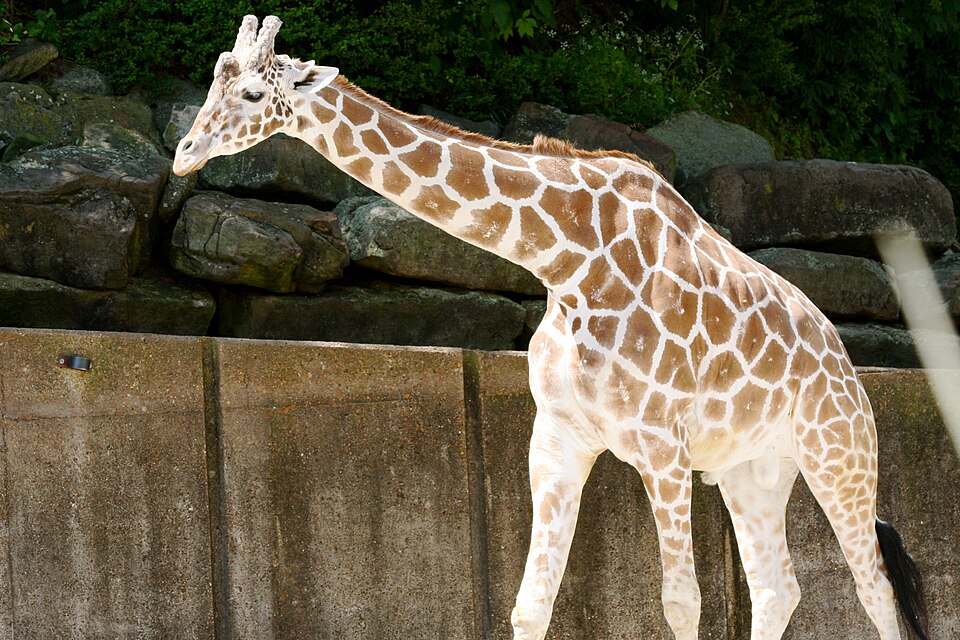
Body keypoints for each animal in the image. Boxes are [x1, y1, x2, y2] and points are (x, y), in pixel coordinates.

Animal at [173, 16, 929, 640]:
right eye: (213, 77)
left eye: (251, 95)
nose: (183, 152)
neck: (567, 261)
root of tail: (843, 357)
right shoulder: (560, 436)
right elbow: (530, 602)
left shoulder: (662, 445)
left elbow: (681, 603)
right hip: (754, 468)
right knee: (779, 588)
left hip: (839, 454)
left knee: (875, 591)